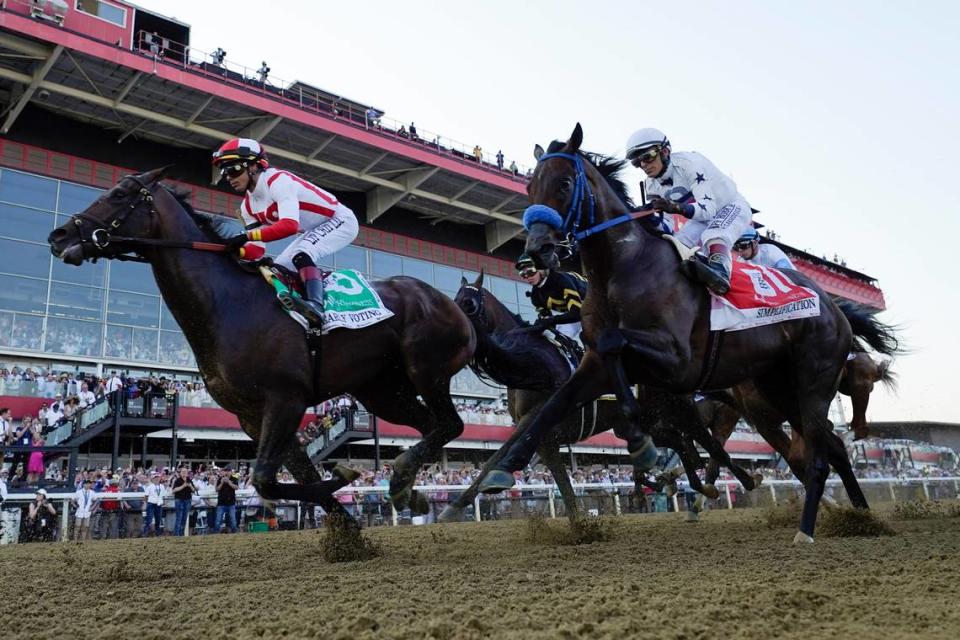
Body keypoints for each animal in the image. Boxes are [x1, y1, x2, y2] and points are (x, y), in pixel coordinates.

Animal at [48, 169, 476, 516]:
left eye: (119, 193)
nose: (59, 235)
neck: (227, 303)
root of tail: (453, 306)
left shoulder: (286, 399)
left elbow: (265, 479)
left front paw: (343, 475)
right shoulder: (252, 413)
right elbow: (292, 476)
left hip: (426, 369)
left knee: (450, 424)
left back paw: (402, 477)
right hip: (383, 392)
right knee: (432, 427)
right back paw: (406, 486)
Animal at [480, 125, 900, 540]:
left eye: (565, 183)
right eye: (530, 187)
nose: (535, 252)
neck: (625, 266)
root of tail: (832, 305)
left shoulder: (678, 361)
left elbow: (616, 346)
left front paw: (641, 441)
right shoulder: (594, 365)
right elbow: (554, 406)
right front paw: (500, 470)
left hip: (813, 379)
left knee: (814, 456)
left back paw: (807, 529)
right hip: (776, 389)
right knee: (831, 447)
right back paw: (861, 517)